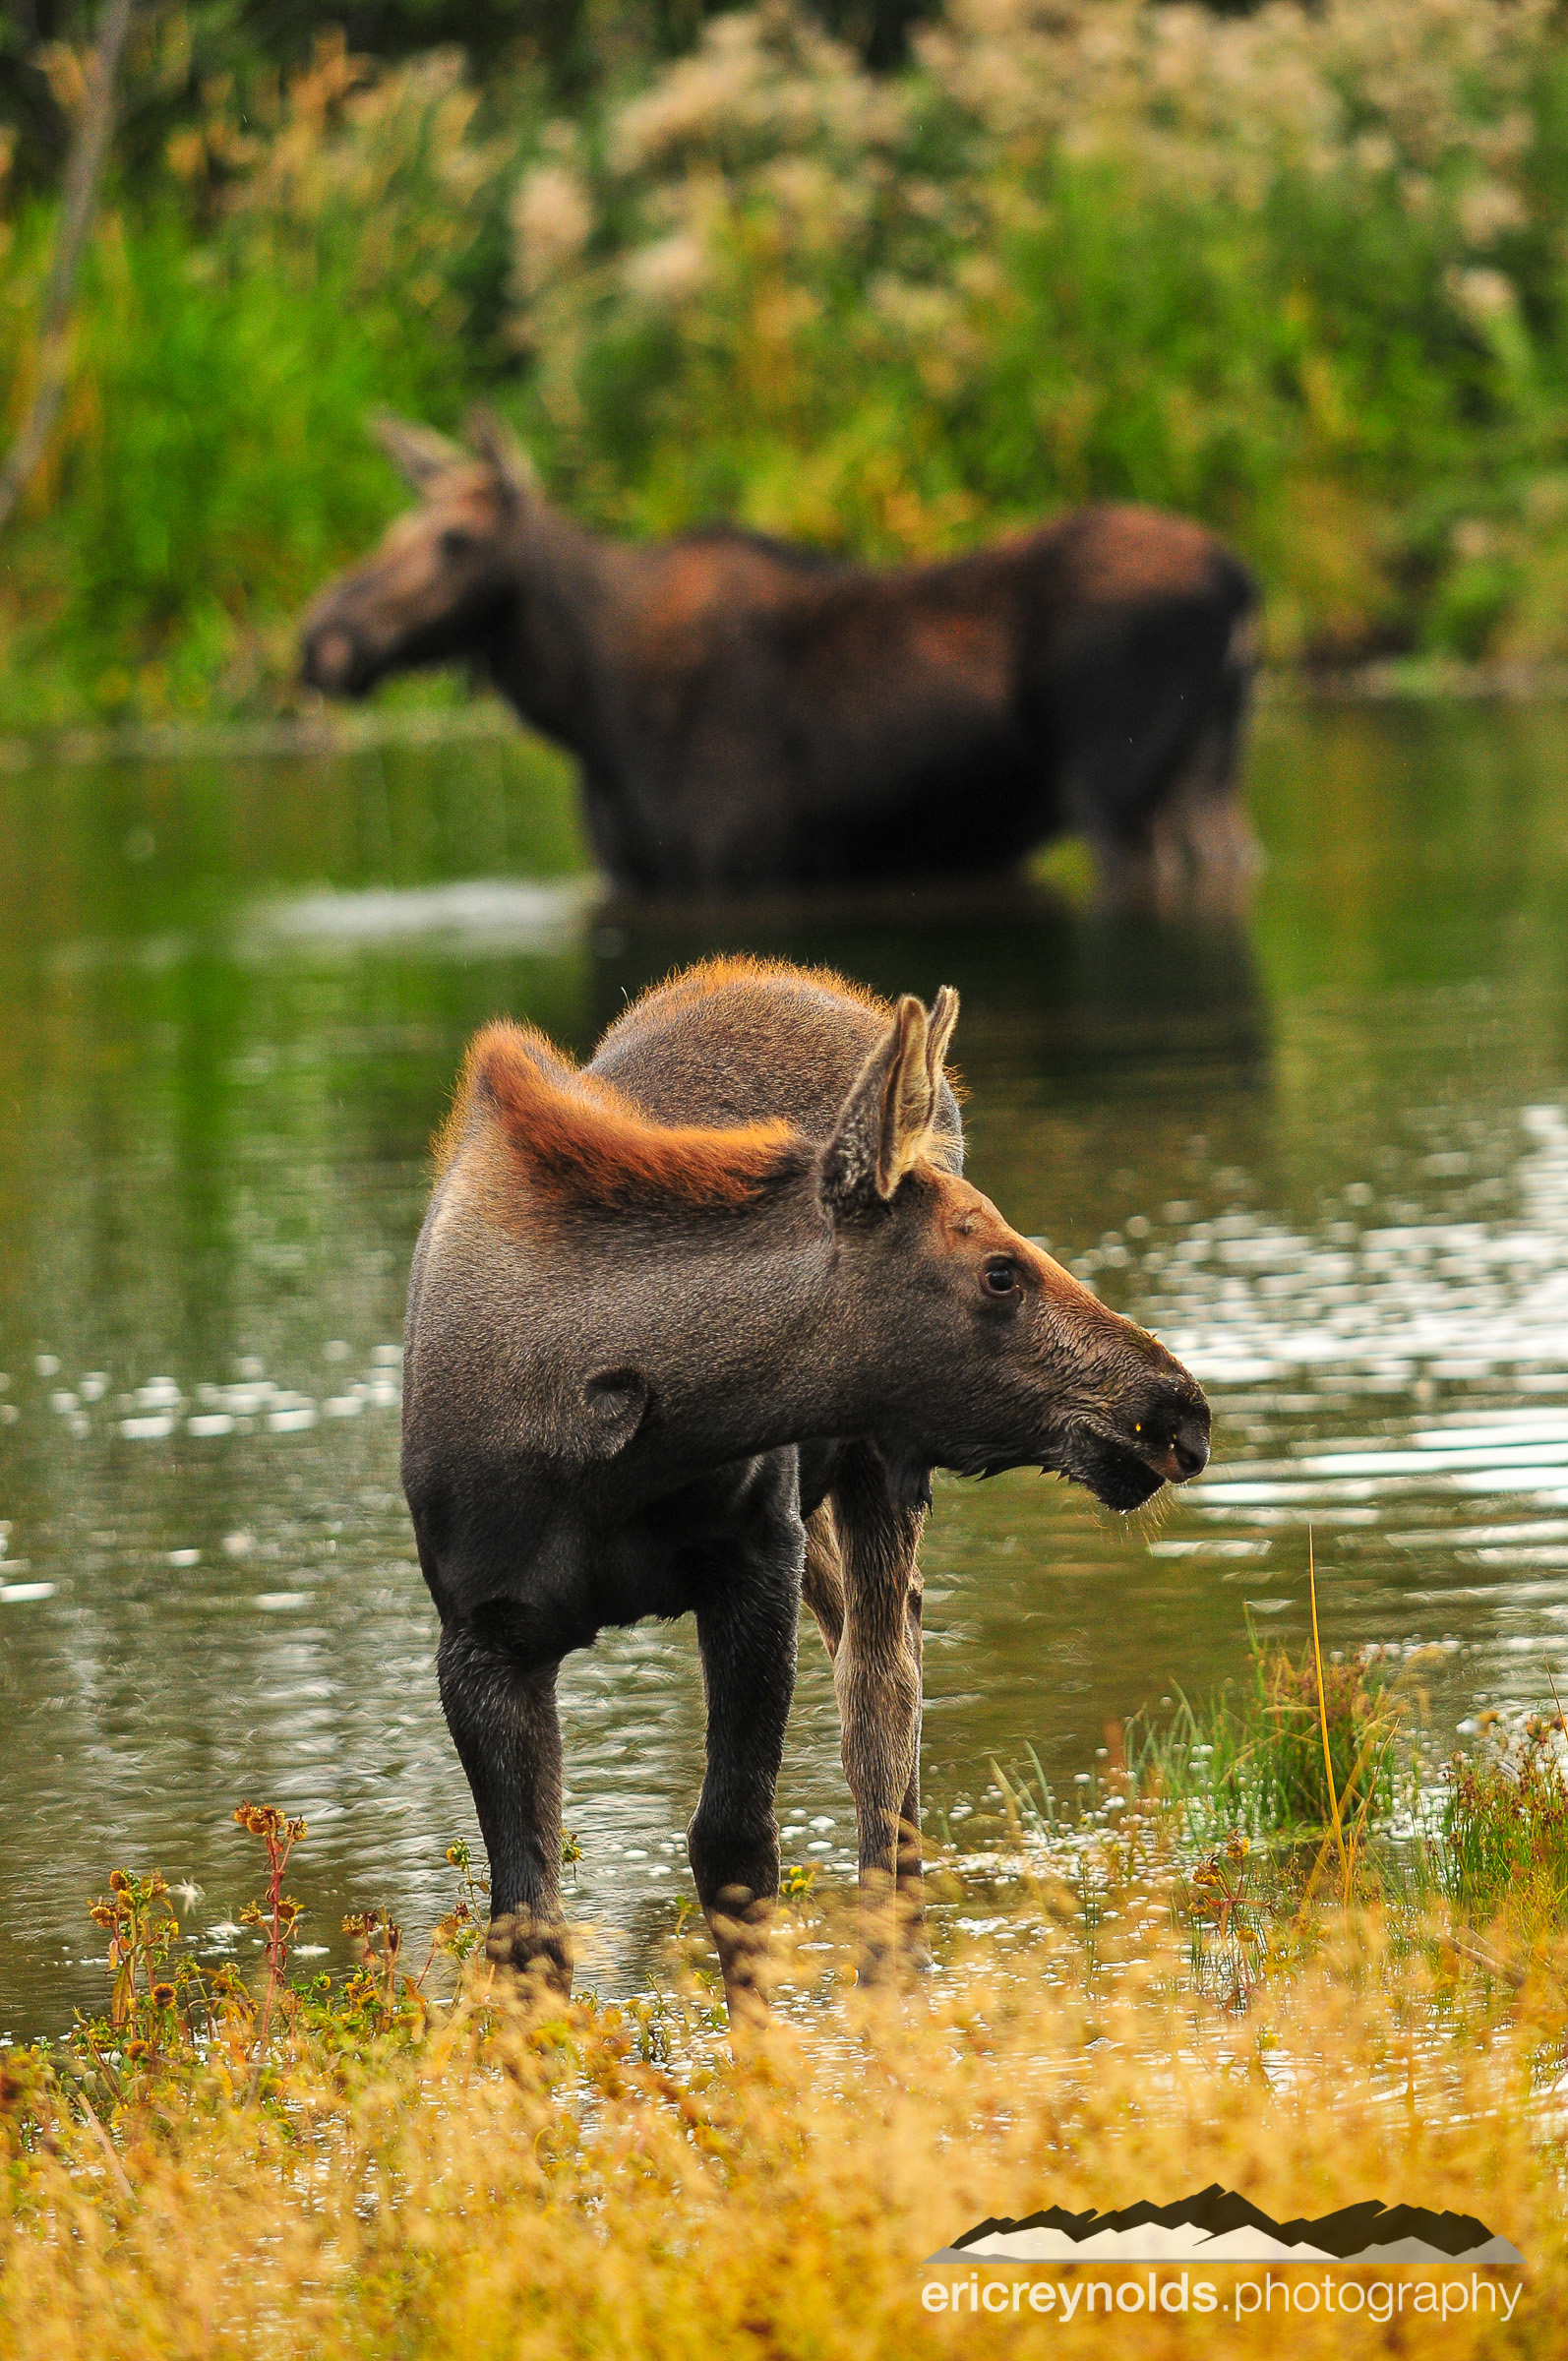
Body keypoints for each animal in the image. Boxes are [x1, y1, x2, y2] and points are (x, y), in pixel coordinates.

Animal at [307, 415, 1265, 911]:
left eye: (453, 539)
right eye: (393, 527)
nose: (321, 640)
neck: (585, 708)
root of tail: (1241, 581)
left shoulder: (734, 864)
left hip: (1120, 795)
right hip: (1206, 781)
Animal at [398, 958, 1204, 2030]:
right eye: (999, 1272)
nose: (1175, 1407)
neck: (611, 1438)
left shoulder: (752, 1559)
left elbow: (734, 1844)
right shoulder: (480, 1639)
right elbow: (525, 1918)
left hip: (877, 1465)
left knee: (884, 1700)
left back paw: (893, 1968)